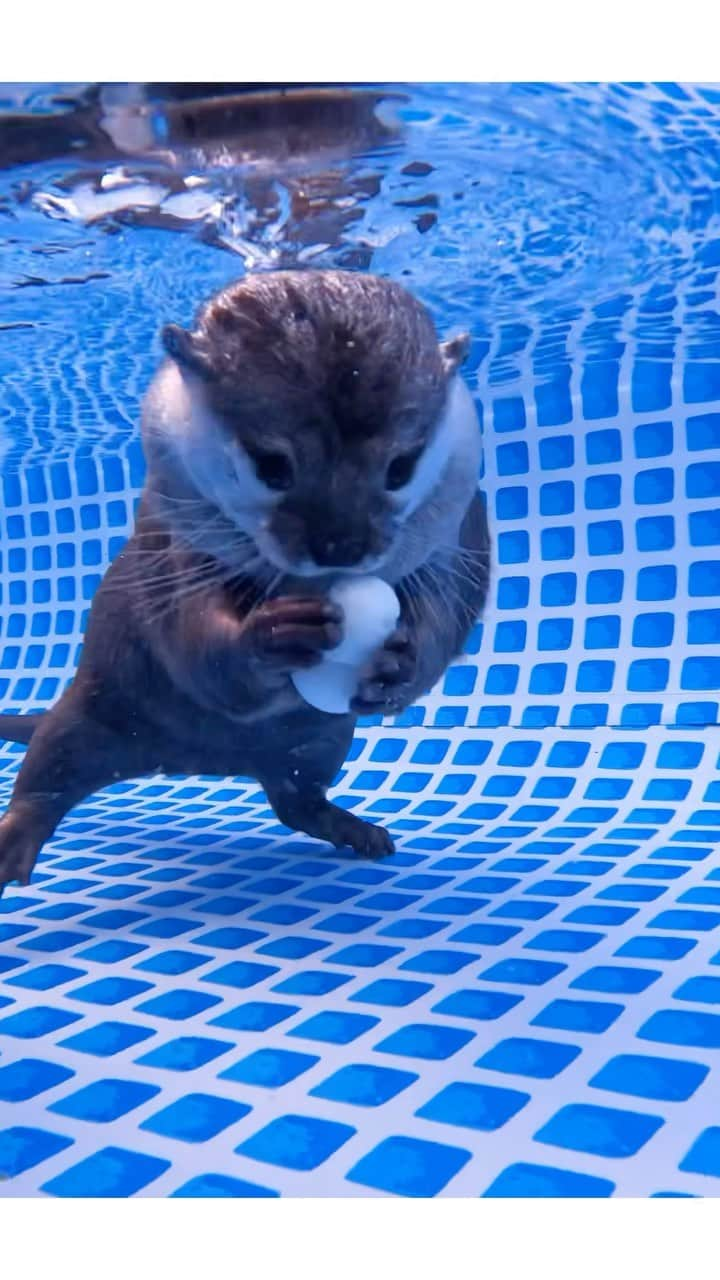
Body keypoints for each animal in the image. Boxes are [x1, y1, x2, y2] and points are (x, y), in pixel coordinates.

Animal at [0, 270, 489, 890]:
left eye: (401, 466)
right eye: (271, 465)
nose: (341, 544)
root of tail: (187, 760)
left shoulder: (459, 533)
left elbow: (449, 619)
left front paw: (403, 663)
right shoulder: (174, 544)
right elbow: (197, 647)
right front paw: (271, 635)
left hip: (323, 742)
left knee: (293, 799)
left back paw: (357, 831)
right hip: (87, 716)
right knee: (46, 774)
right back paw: (12, 845)